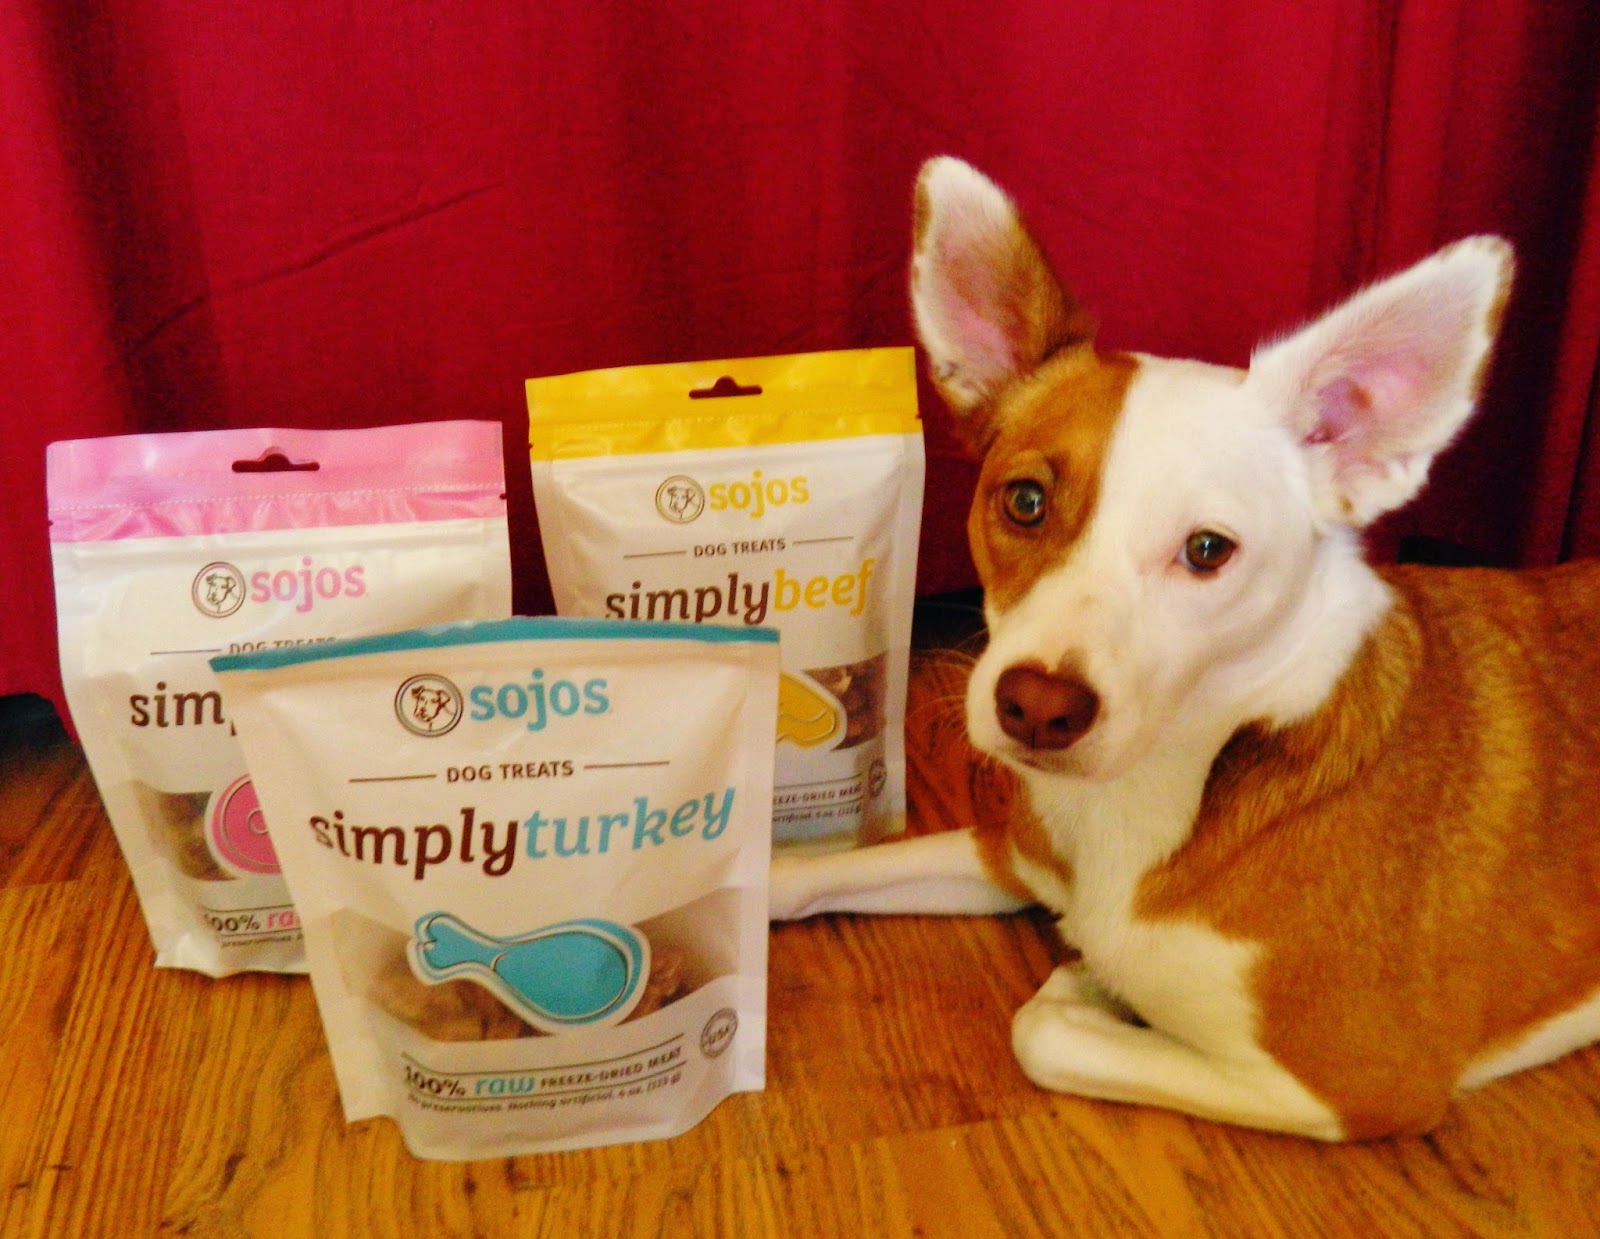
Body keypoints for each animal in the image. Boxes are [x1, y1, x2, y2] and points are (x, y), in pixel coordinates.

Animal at [769, 157, 1600, 1140]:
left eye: (1208, 550)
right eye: (1024, 502)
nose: (1035, 707)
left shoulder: (1356, 1082)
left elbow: (1042, 1028)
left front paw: (1085, 983)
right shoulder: (1008, 849)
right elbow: (827, 869)